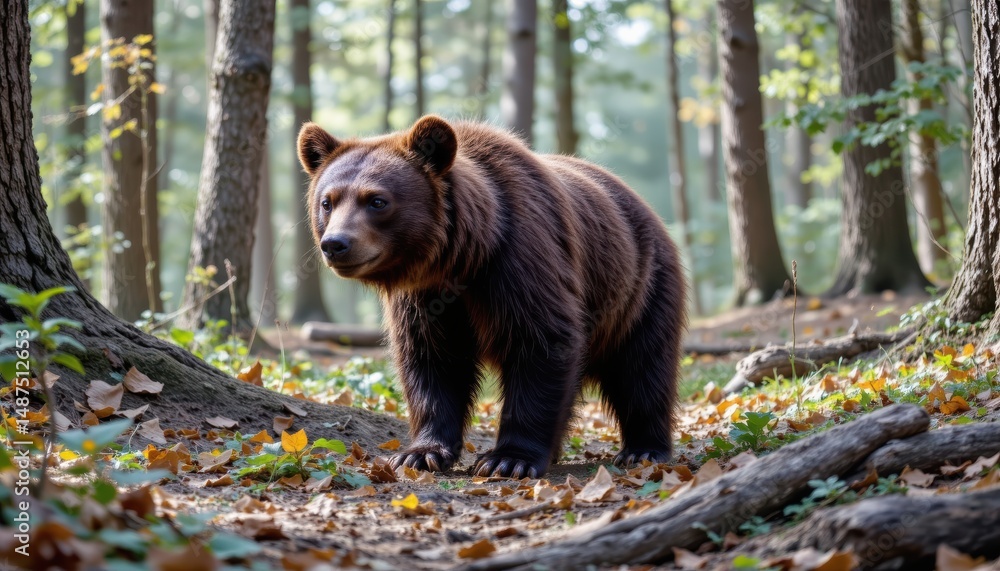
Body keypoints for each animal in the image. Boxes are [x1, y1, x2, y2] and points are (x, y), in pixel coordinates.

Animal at [297, 115, 686, 478]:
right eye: (328, 202)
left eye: (377, 200)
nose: (335, 244)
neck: (462, 258)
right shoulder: (425, 298)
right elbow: (431, 361)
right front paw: (421, 452)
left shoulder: (518, 261)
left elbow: (541, 343)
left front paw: (509, 459)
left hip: (642, 286)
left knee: (643, 367)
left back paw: (643, 448)